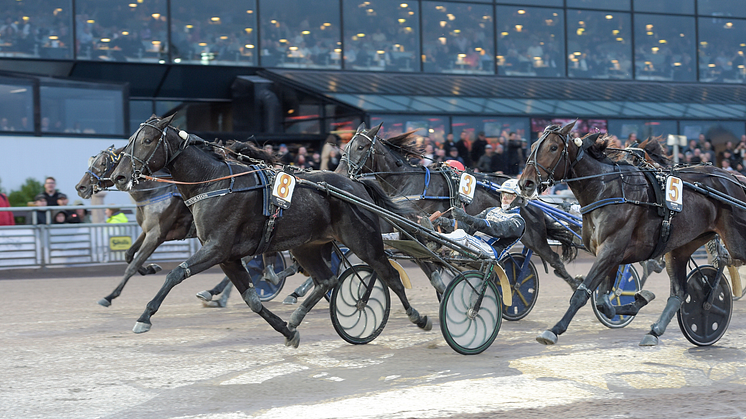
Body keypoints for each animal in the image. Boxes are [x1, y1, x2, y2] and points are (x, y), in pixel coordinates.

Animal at [107, 115, 428, 348]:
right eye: (128, 143)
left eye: (147, 140)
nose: (119, 176)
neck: (214, 182)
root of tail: (355, 183)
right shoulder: (227, 257)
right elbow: (251, 300)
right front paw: (287, 331)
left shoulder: (216, 247)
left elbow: (175, 274)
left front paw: (145, 316)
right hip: (307, 245)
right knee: (327, 280)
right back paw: (297, 316)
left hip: (363, 239)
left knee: (388, 274)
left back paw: (418, 317)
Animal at [516, 121, 744, 348]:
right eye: (533, 145)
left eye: (553, 147)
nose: (525, 183)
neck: (607, 190)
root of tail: (734, 178)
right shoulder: (611, 254)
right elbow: (603, 301)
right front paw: (638, 301)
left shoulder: (612, 249)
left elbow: (582, 293)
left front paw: (554, 329)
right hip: (681, 247)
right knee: (680, 293)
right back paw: (655, 331)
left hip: (735, 241)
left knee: (726, 260)